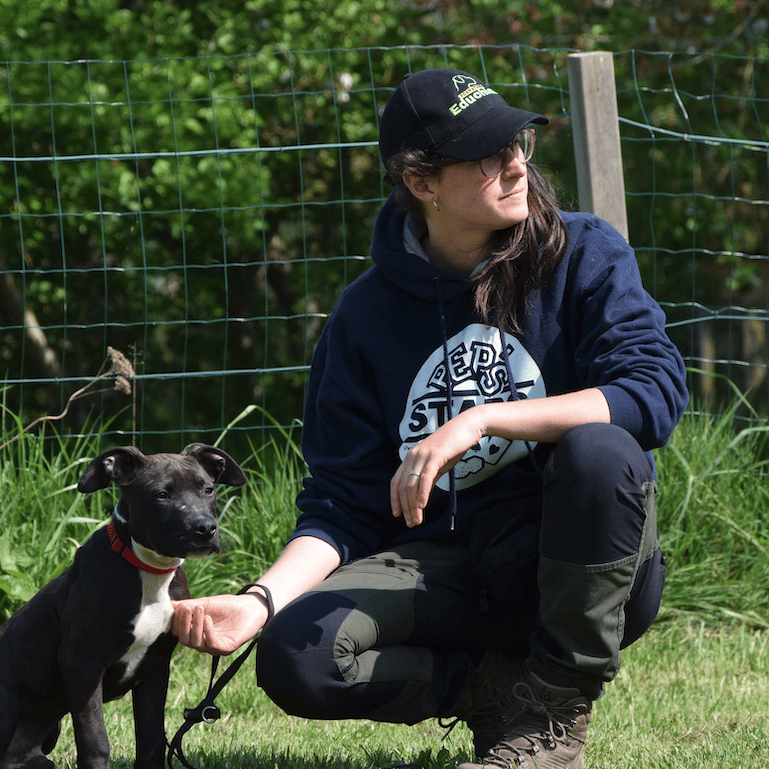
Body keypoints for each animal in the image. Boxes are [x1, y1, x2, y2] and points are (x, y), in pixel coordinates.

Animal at [0, 440, 244, 768]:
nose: (205, 528)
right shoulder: (82, 664)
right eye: (161, 494)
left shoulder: (155, 667)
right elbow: (96, 741)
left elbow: (152, 739)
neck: (150, 570)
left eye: (208, 489)